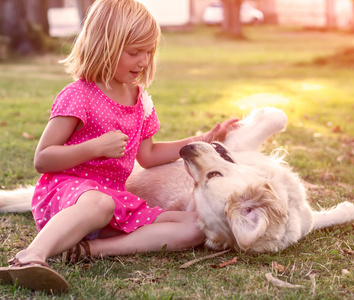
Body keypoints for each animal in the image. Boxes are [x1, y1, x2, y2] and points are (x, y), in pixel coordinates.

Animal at [0, 108, 354, 253]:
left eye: (211, 176)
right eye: (199, 184)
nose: (185, 149)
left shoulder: (303, 216)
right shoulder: (241, 144)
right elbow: (278, 115)